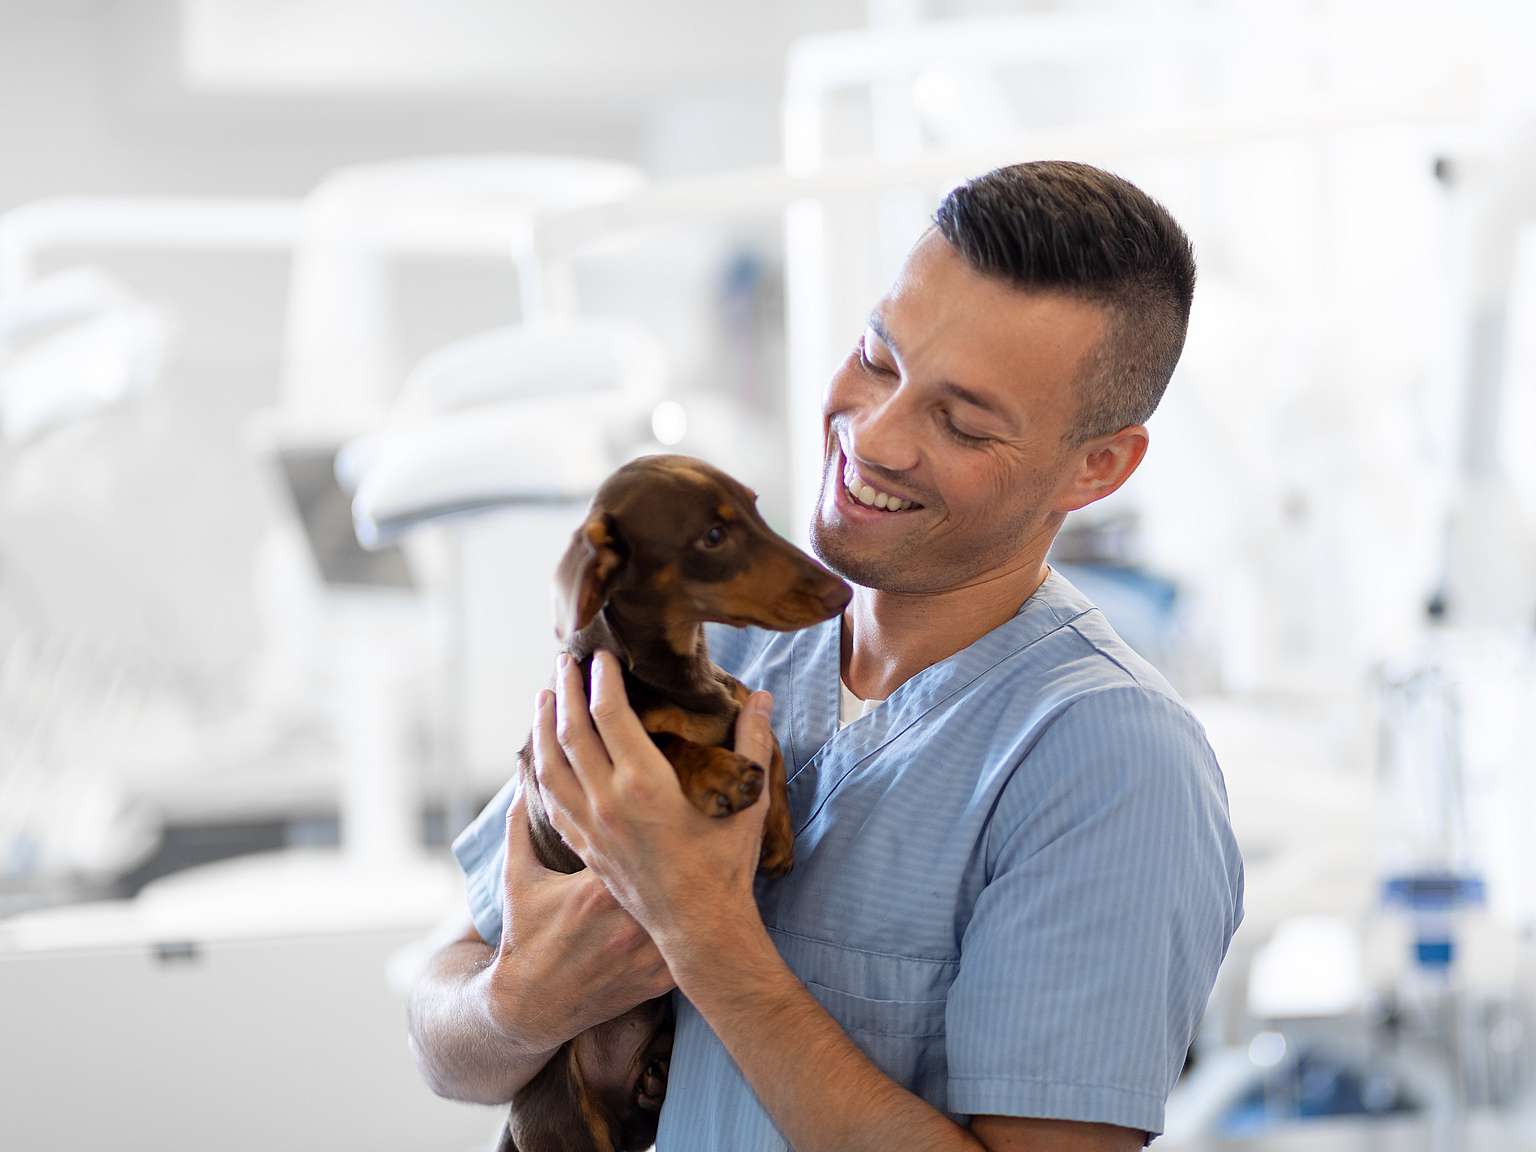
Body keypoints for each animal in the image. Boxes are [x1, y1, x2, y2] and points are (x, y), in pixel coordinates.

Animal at [497, 454, 854, 1148]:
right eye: (711, 538)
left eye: (755, 508)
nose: (842, 594)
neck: (681, 672)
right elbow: (667, 740)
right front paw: (720, 773)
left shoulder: (736, 699)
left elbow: (763, 733)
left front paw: (776, 834)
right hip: (566, 1119)